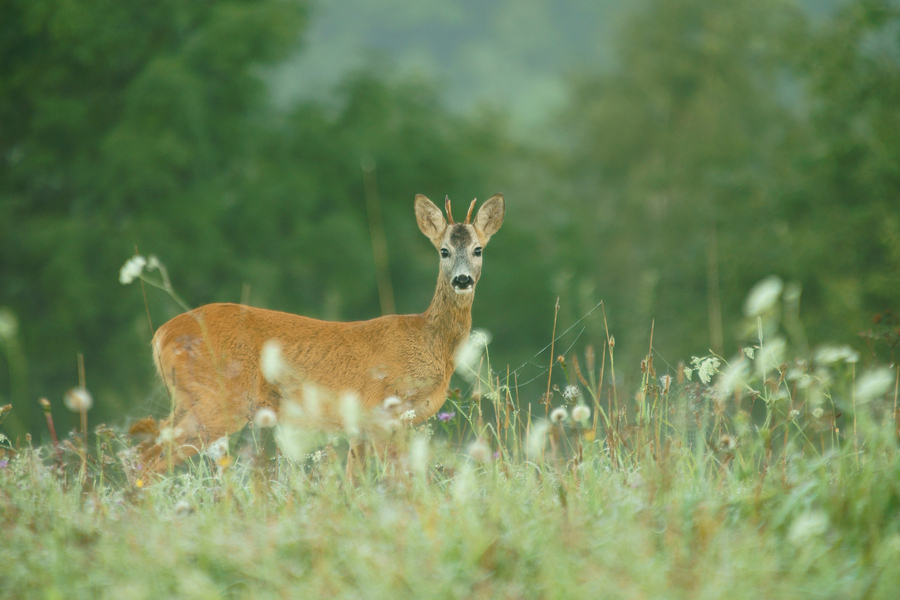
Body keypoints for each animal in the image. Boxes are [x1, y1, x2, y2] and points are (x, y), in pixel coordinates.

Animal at [141, 195, 506, 472]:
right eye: (444, 250)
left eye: (478, 249)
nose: (462, 280)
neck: (429, 340)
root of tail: (161, 335)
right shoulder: (385, 411)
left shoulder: (364, 425)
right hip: (218, 399)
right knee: (150, 456)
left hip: (190, 399)